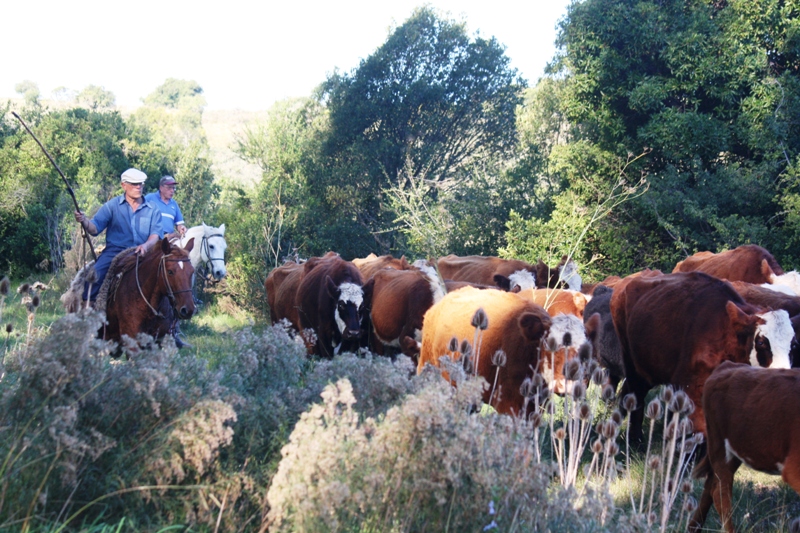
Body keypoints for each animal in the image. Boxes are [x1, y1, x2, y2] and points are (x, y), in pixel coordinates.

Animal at [612, 270, 792, 436]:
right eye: (761, 342)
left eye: (793, 343)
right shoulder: (690, 388)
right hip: (634, 365)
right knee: (636, 396)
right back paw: (635, 440)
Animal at [688, 362, 800, 532]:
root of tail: (729, 365)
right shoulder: (794, 469)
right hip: (719, 446)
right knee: (719, 493)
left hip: (735, 450)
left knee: (710, 486)